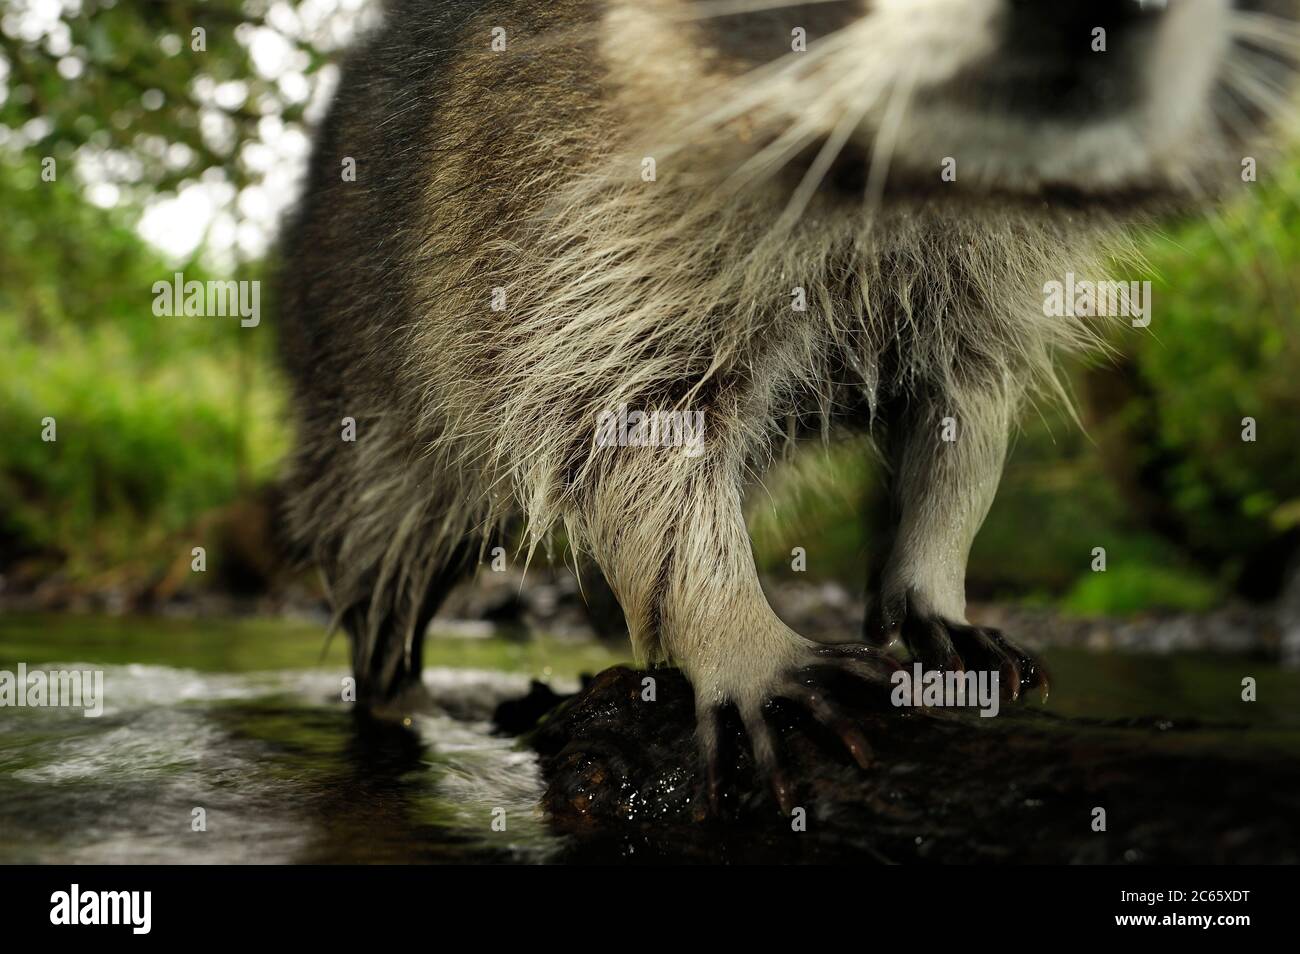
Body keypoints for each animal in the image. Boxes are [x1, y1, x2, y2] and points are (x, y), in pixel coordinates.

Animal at [282, 0, 1300, 805]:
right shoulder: (569, 198)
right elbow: (620, 413)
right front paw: (735, 628)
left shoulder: (976, 274)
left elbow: (965, 402)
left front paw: (931, 567)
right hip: (357, 368)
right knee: (386, 535)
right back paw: (392, 683)